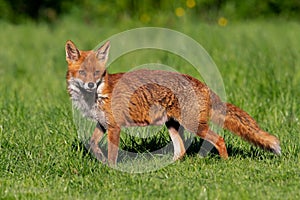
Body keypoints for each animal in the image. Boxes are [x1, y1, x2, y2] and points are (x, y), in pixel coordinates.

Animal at [65, 39, 282, 165]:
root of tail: (202, 84)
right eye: (82, 72)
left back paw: (226, 165)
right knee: (182, 150)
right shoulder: (103, 123)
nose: (91, 85)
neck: (97, 95)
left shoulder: (114, 126)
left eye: (97, 73)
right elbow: (93, 144)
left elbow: (112, 154)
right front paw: (100, 160)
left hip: (194, 125)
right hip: (172, 124)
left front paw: (111, 170)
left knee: (219, 140)